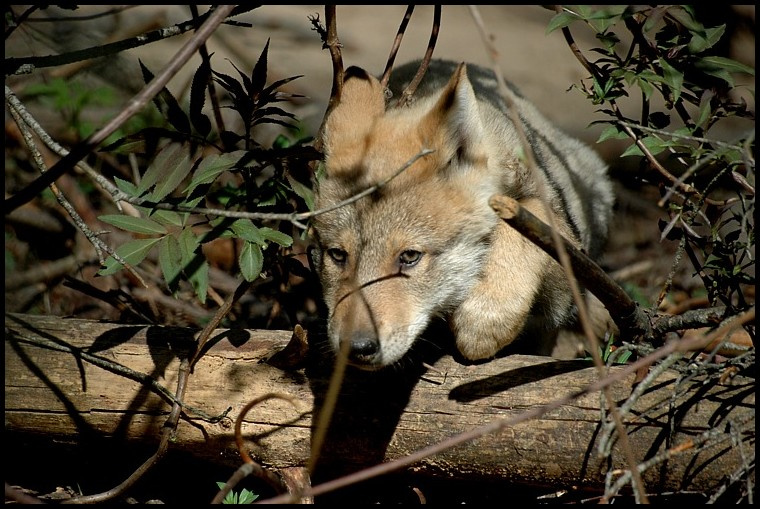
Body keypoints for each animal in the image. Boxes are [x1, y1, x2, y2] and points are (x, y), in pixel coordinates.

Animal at [310, 59, 615, 370]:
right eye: (337, 255)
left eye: (410, 257)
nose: (356, 347)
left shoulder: (568, 275)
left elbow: (521, 221)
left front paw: (482, 321)